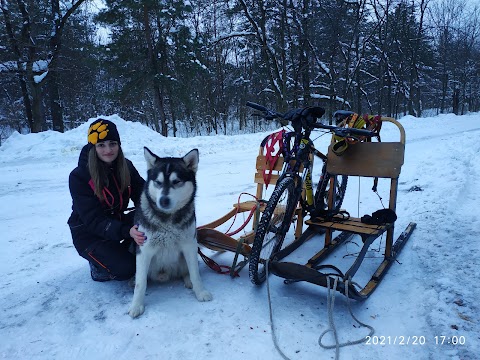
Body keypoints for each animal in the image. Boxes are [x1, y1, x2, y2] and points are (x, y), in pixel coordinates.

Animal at [128, 147, 211, 318]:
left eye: (176, 182)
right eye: (158, 182)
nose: (163, 200)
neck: (167, 220)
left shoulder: (189, 245)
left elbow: (195, 273)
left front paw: (200, 292)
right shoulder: (144, 249)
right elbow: (141, 283)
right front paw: (136, 305)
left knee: (187, 271)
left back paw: (188, 281)